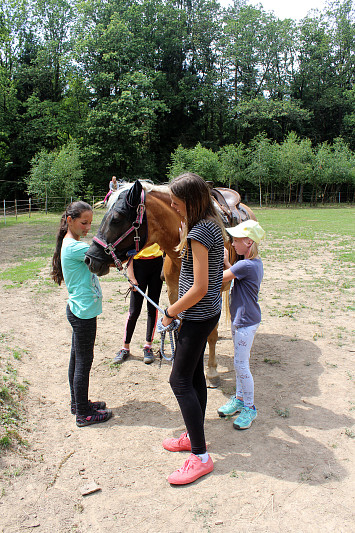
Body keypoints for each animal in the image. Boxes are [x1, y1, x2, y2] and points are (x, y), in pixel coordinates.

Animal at [85, 181, 258, 384]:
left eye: (117, 218)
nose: (89, 259)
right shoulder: (175, 293)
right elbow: (179, 327)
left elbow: (212, 335)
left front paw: (212, 371)